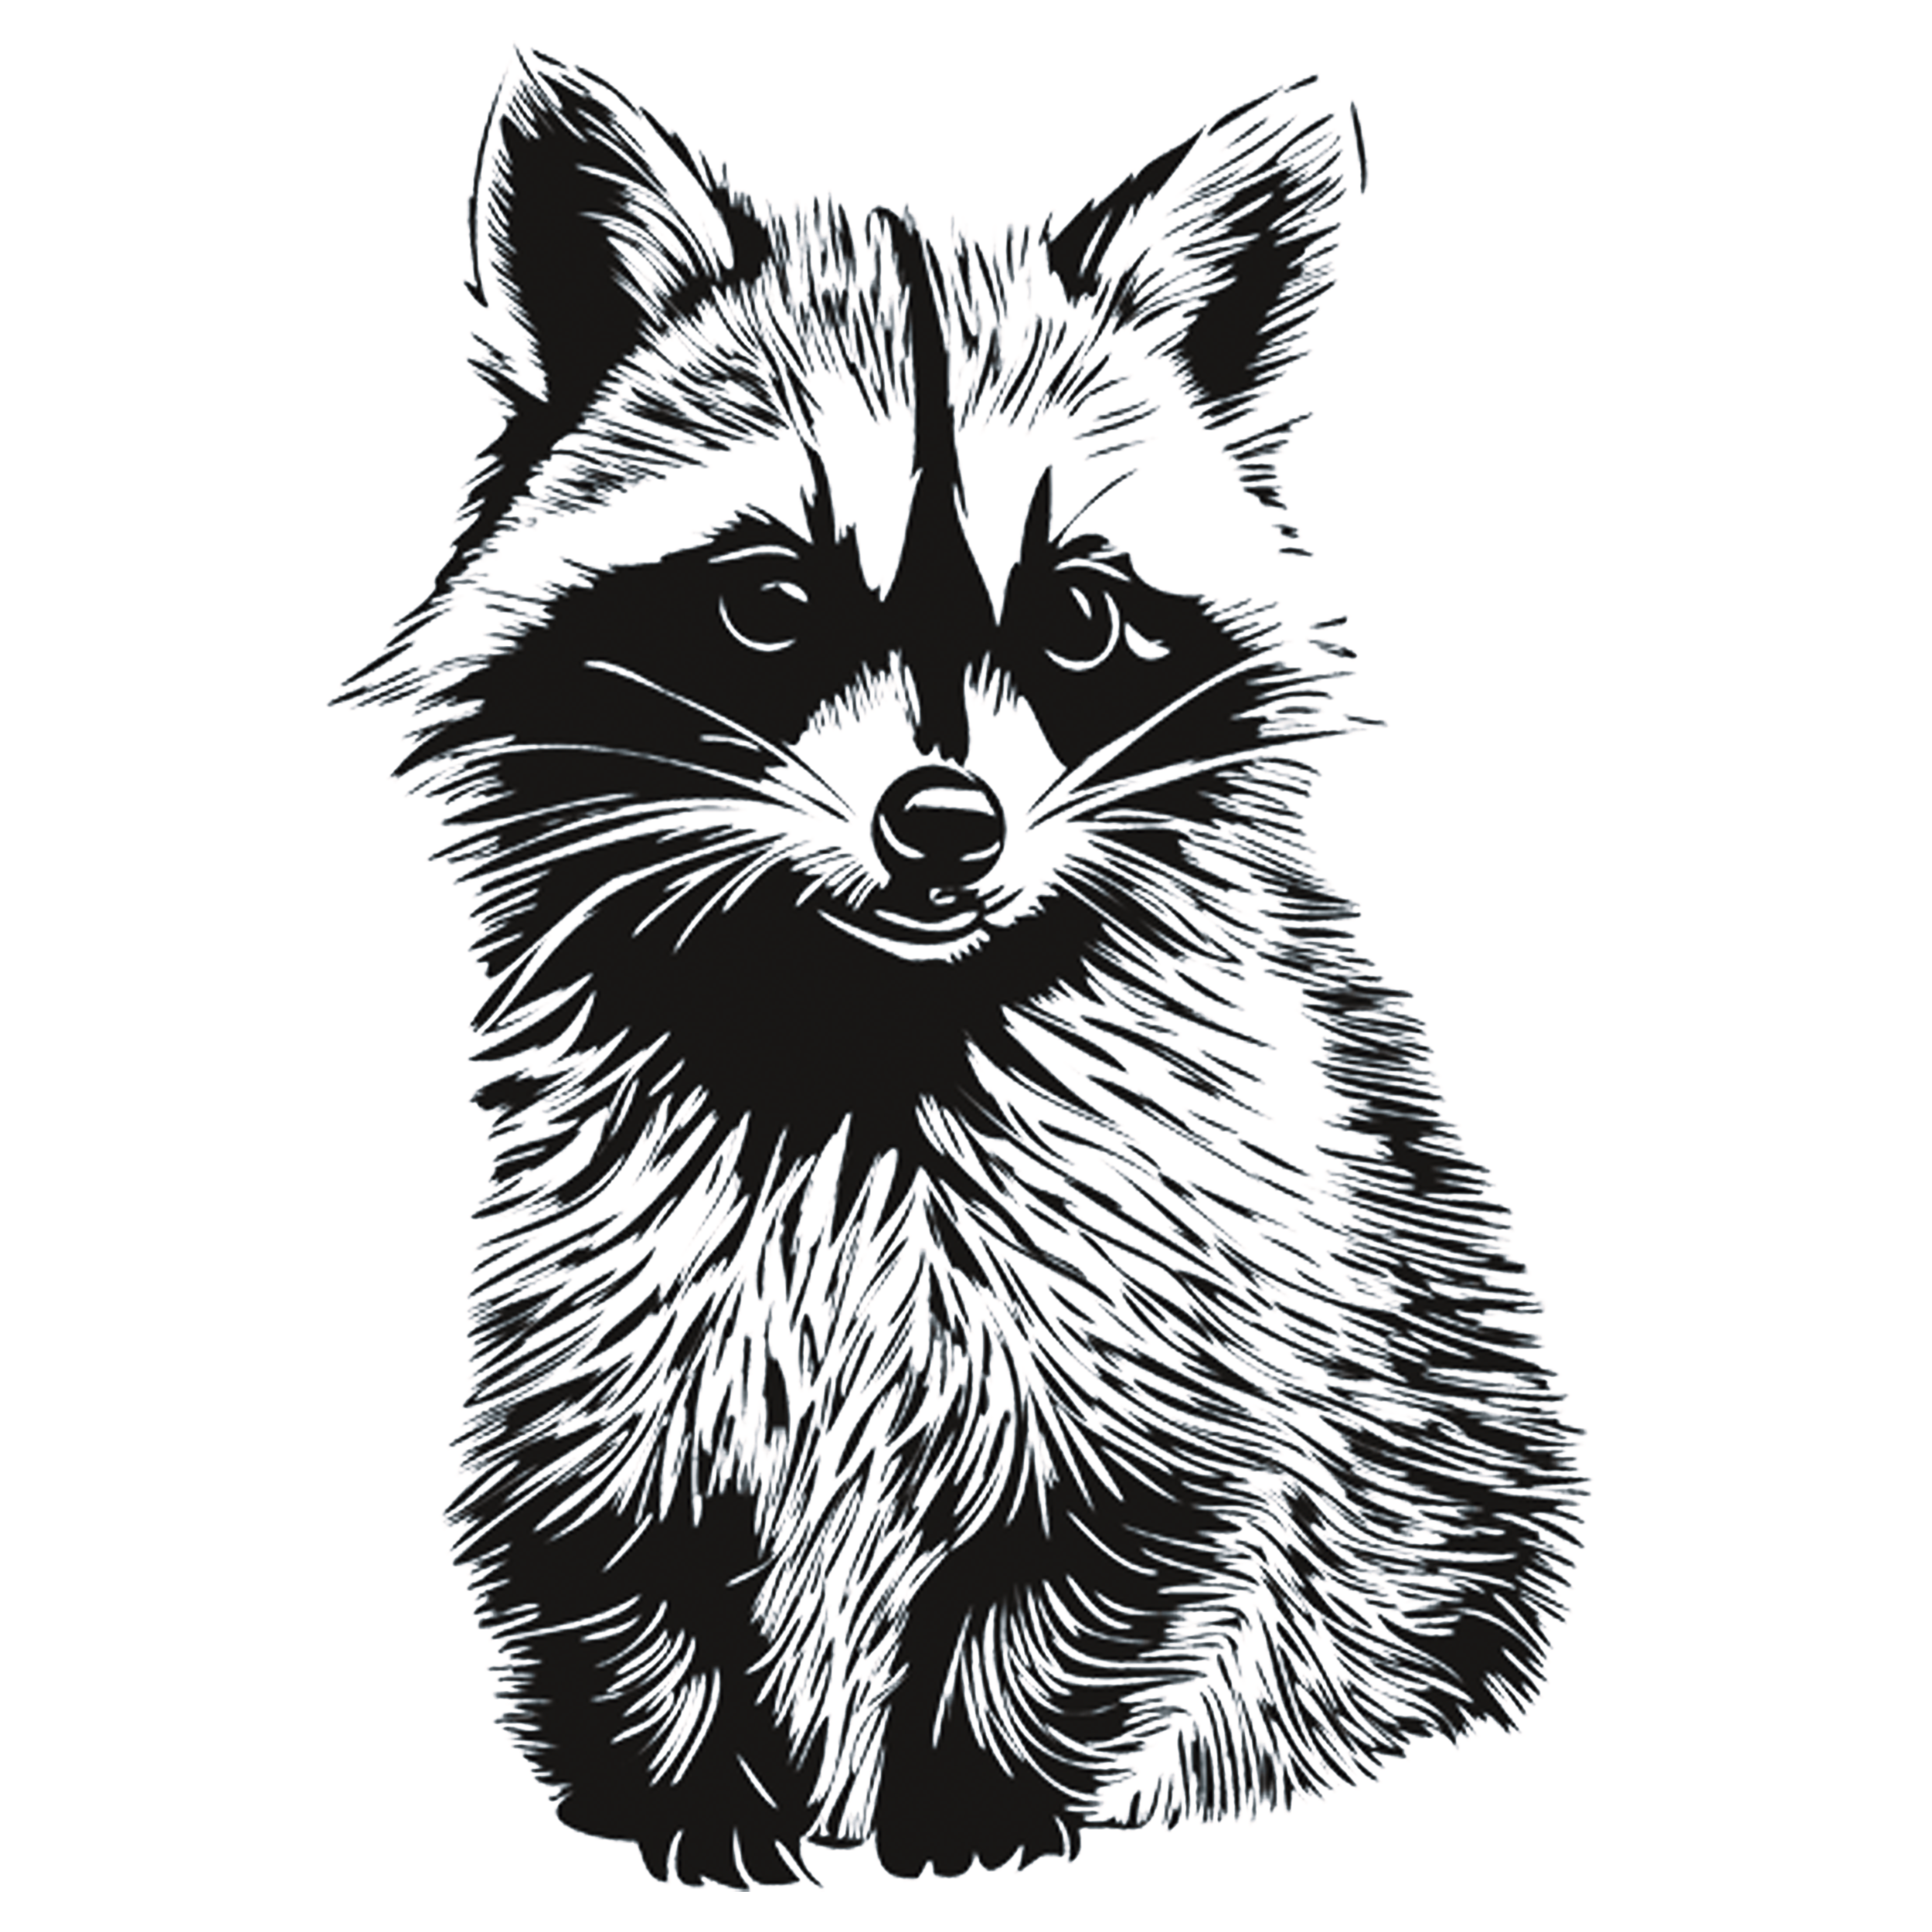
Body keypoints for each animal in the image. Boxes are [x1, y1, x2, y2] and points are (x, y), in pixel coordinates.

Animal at [350, 53, 1574, 1886]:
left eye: (1075, 618)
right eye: (768, 601)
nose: (944, 826)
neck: (863, 1016)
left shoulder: (1194, 1259)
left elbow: (1106, 1542)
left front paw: (975, 1791)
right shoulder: (616, 1279)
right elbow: (610, 1544)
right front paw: (692, 1784)